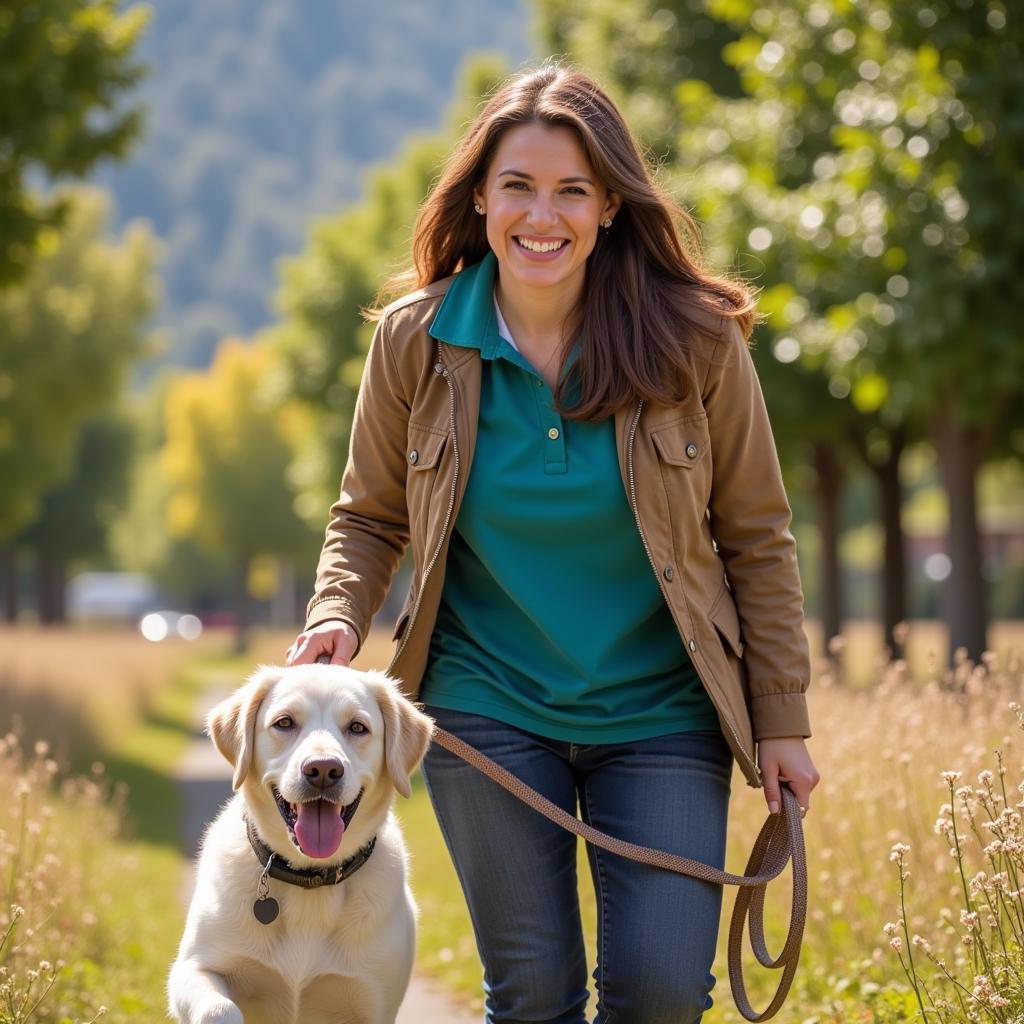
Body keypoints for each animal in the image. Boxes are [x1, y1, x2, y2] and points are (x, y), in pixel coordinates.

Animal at [166, 663, 436, 1024]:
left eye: (357, 727)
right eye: (284, 722)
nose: (322, 769)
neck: (311, 880)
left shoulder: (374, 1003)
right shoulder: (193, 968)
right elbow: (218, 1008)